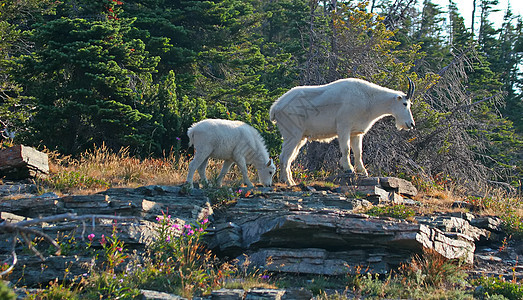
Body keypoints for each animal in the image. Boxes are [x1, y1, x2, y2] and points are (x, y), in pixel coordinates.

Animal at [272, 77, 416, 185]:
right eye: (404, 104)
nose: (411, 124)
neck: (369, 100)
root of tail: (275, 108)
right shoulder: (343, 126)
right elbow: (346, 149)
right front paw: (348, 168)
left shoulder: (356, 132)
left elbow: (358, 152)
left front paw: (362, 171)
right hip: (293, 134)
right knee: (284, 156)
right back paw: (288, 182)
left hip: (300, 137)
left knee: (289, 157)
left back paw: (290, 181)